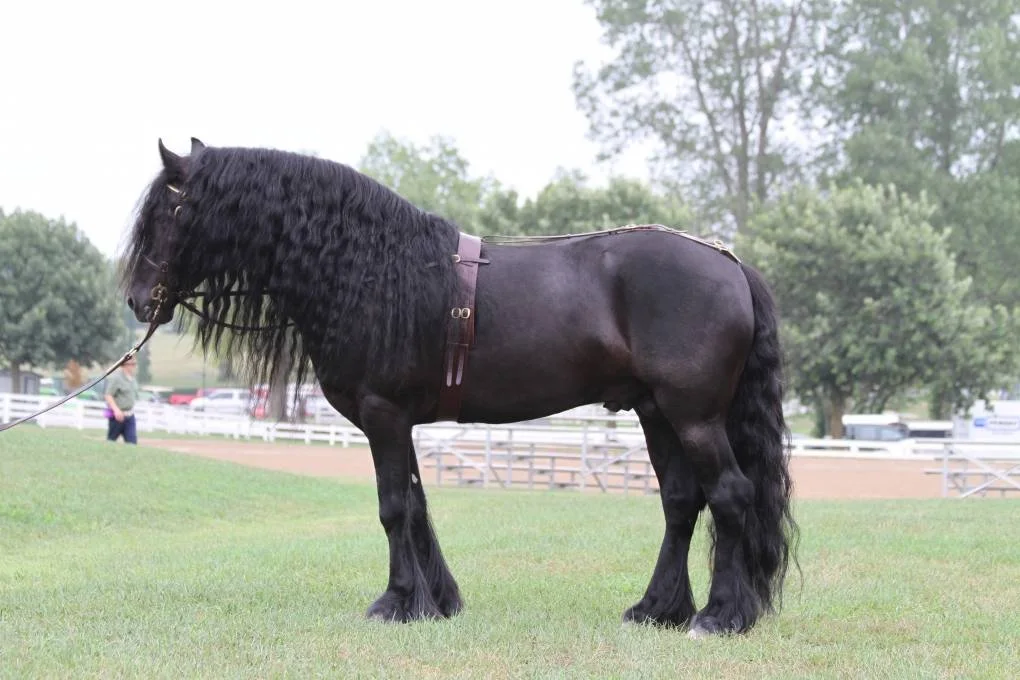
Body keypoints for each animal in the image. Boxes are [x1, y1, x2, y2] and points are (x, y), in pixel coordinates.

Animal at [123, 138, 795, 640]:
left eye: (164, 215)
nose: (135, 300)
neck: (368, 267)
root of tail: (730, 264)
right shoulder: (398, 421)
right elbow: (416, 505)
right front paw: (434, 600)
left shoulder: (383, 414)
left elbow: (393, 507)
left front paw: (395, 601)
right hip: (657, 414)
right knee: (681, 504)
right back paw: (657, 608)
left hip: (694, 416)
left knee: (730, 494)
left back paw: (719, 616)